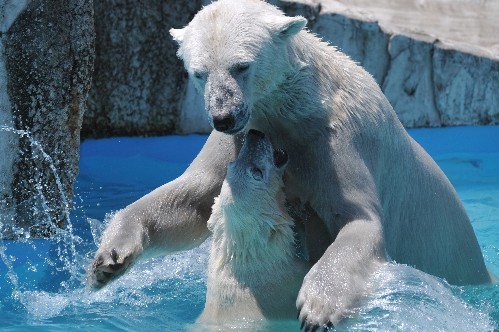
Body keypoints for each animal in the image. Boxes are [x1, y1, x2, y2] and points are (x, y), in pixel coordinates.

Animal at [87, 0, 492, 328]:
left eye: (241, 66)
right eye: (198, 71)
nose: (222, 115)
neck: (292, 109)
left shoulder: (335, 139)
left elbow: (359, 219)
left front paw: (317, 305)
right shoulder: (239, 135)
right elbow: (194, 198)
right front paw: (108, 259)